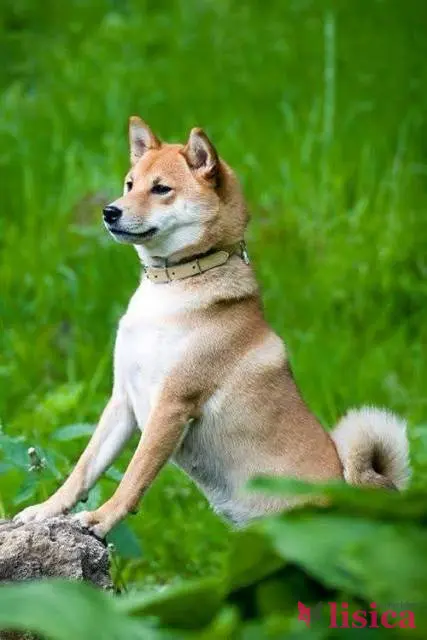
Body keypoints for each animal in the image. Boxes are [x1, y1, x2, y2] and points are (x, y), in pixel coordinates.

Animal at [15, 117, 410, 537]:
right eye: (129, 184)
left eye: (161, 189)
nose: (109, 211)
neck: (172, 286)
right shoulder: (122, 401)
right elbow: (84, 469)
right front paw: (46, 510)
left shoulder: (171, 406)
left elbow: (134, 476)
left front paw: (100, 519)